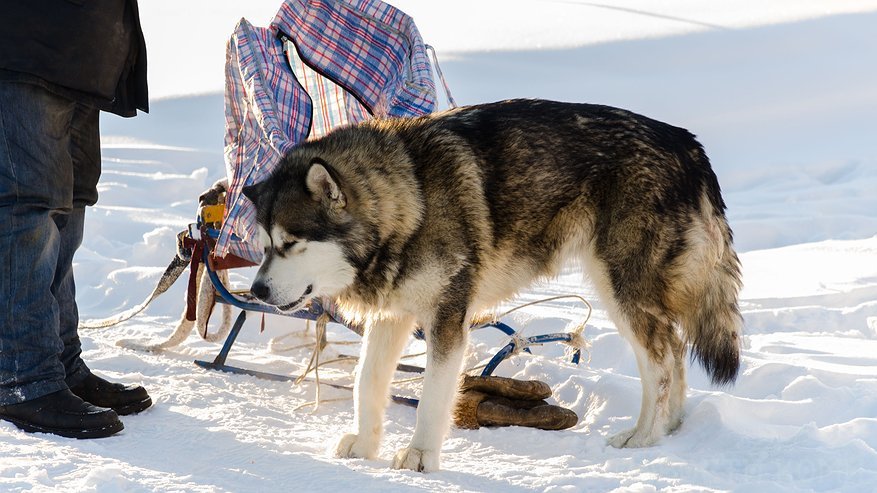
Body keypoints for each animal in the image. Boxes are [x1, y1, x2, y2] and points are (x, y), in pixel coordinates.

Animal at [243, 99, 744, 472]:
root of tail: (686, 143)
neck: (412, 199)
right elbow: (367, 382)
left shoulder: (447, 319)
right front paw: (366, 447)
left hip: (620, 288)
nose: (257, 292)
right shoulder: (392, 315)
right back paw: (669, 429)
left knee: (660, 362)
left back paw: (644, 436)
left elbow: (431, 399)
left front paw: (420, 456)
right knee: (675, 351)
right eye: (264, 245)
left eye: (290, 243)